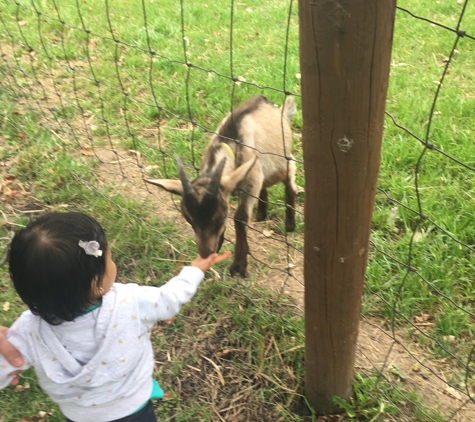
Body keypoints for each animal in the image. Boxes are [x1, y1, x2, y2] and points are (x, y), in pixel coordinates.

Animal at [145, 95, 296, 276]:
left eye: (221, 217)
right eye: (188, 219)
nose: (206, 253)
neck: (230, 142)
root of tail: (277, 109)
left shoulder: (250, 182)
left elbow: (240, 218)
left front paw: (239, 266)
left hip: (281, 164)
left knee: (290, 178)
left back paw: (290, 224)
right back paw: (261, 214)